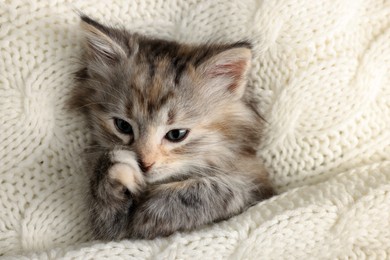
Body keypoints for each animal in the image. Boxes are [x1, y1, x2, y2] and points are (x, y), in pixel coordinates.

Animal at [71, 15, 274, 240]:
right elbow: (109, 220)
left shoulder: (258, 186)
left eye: (176, 134)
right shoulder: (108, 229)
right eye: (123, 126)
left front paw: (151, 211)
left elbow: (216, 189)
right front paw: (114, 167)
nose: (144, 164)